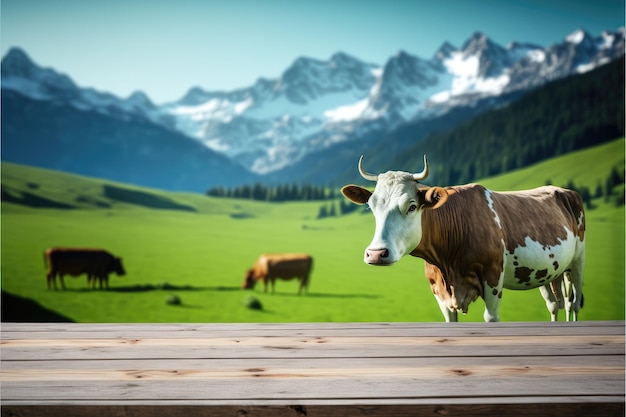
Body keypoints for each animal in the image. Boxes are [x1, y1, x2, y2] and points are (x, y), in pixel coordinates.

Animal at [338, 156, 584, 322]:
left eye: (412, 206)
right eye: (370, 206)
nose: (376, 254)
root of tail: (563, 190)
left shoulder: (493, 278)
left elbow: (491, 317)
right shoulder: (439, 291)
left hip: (577, 262)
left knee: (572, 304)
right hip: (548, 271)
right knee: (554, 304)